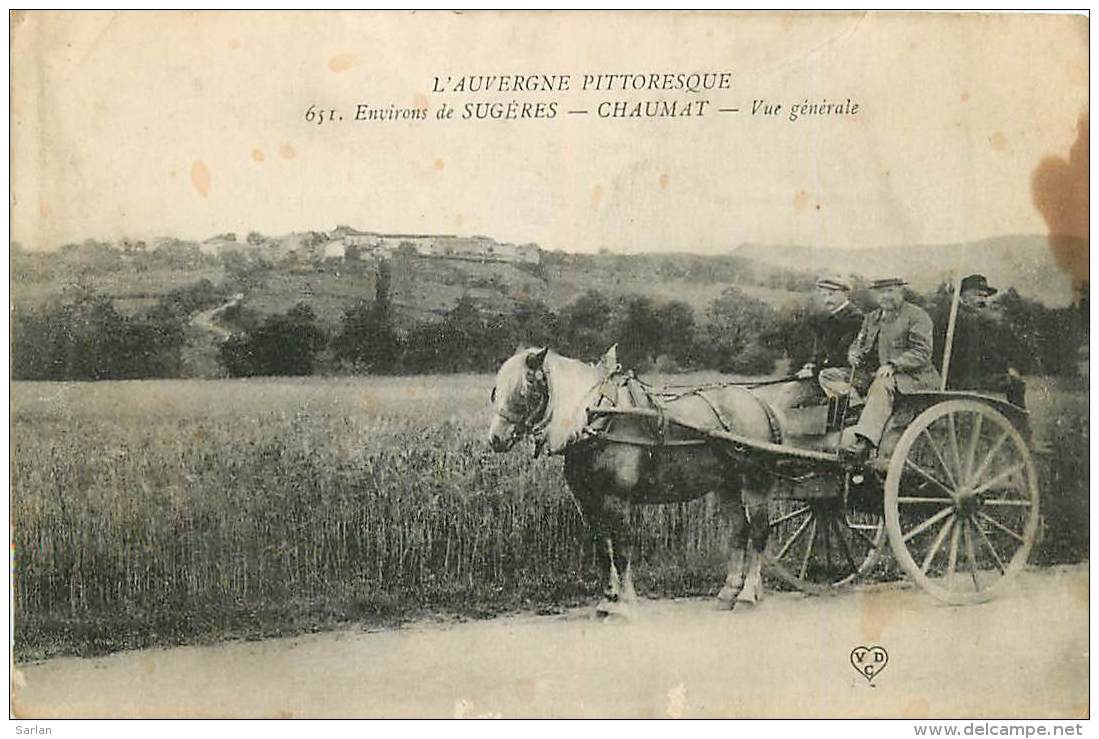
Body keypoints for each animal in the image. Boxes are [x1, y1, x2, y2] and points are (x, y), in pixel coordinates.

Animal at [487, 347, 782, 615]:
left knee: (758, 532)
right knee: (738, 531)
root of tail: (758, 402)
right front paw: (607, 600)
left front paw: (625, 603)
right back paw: (728, 593)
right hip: (727, 485)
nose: (495, 439)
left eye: (527, 389)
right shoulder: (587, 502)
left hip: (754, 483)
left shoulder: (617, 501)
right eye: (496, 391)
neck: (596, 418)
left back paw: (747, 595)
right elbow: (602, 550)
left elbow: (621, 550)